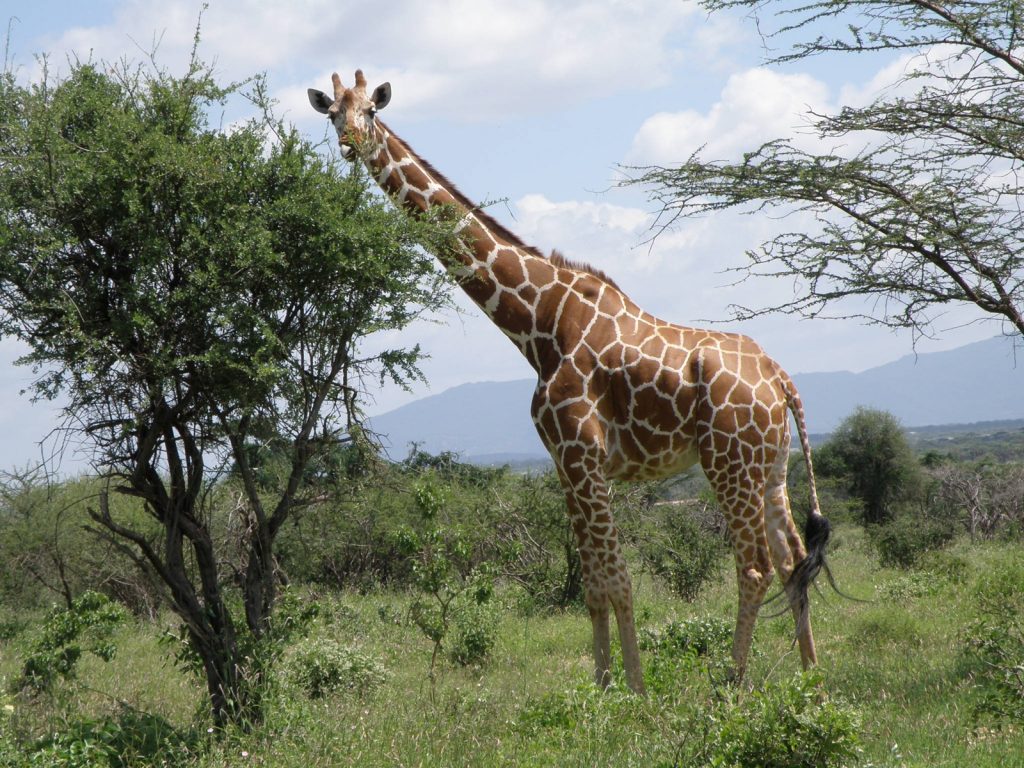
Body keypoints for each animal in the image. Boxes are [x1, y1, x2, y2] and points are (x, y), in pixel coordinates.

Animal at [309, 70, 832, 694]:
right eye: (333, 113)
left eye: (370, 110)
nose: (349, 143)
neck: (541, 322)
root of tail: (781, 379)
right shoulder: (564, 462)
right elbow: (591, 585)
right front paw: (602, 687)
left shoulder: (584, 453)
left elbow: (619, 579)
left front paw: (636, 690)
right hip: (771, 466)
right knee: (792, 560)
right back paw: (811, 678)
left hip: (729, 462)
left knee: (753, 566)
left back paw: (732, 684)